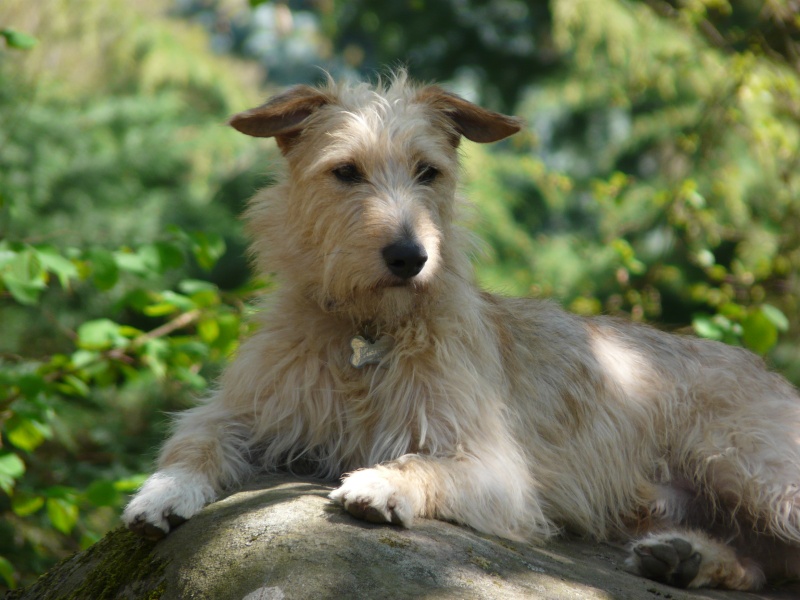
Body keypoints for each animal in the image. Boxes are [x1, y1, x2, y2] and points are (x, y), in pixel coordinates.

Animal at [122, 71, 800, 592]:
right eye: (346, 172)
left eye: (428, 172)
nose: (409, 256)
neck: (368, 331)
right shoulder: (243, 407)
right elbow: (195, 441)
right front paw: (162, 493)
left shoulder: (496, 467)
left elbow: (425, 463)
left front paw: (381, 482)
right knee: (766, 566)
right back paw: (686, 558)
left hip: (752, 471)